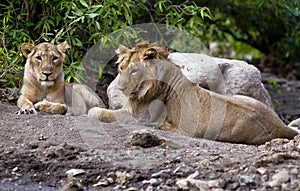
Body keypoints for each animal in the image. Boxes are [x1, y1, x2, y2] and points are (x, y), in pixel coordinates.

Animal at [88, 42, 298, 144]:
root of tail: (280, 126)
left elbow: (101, 113)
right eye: (121, 68)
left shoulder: (140, 119)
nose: (121, 87)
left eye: (133, 71)